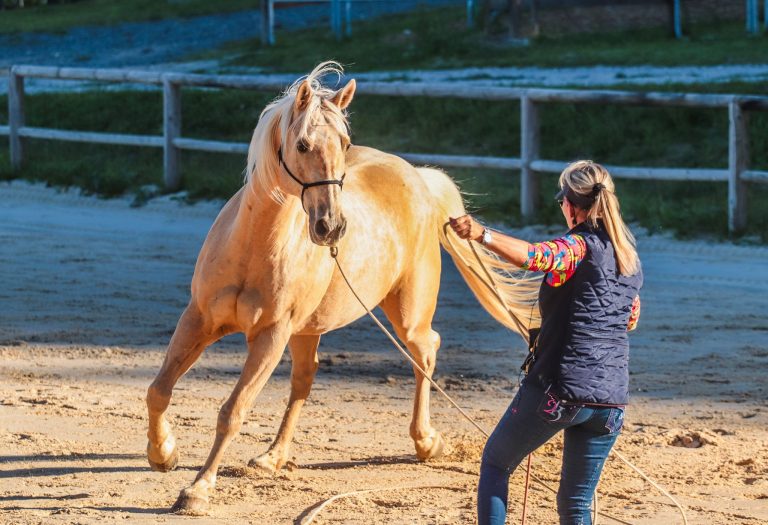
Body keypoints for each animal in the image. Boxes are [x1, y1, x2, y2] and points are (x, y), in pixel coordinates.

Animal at [145, 62, 540, 514]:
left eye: (345, 143)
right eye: (302, 144)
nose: (330, 226)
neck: (252, 247)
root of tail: (417, 178)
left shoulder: (269, 337)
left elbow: (233, 411)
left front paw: (198, 489)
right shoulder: (199, 320)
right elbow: (158, 391)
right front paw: (163, 453)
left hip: (406, 314)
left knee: (426, 350)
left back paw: (426, 441)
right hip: (307, 330)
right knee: (305, 378)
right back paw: (272, 457)